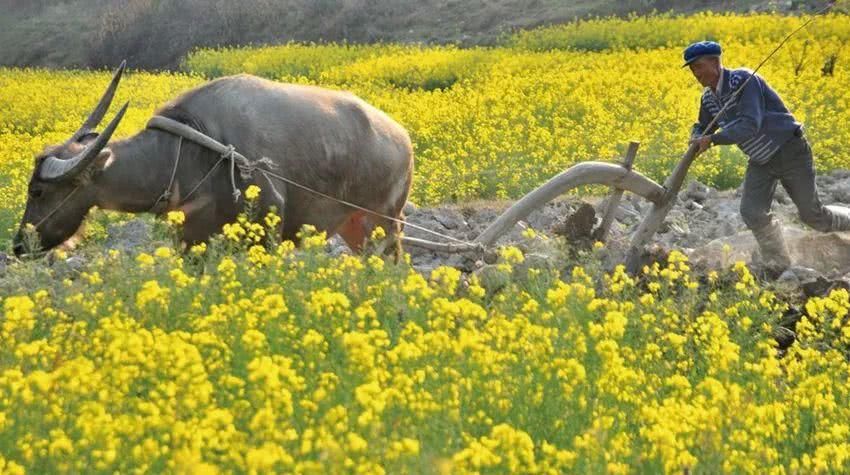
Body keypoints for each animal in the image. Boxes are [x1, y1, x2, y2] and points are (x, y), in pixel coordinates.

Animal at [12, 64, 410, 256]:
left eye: (37, 191)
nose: (18, 246)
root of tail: (400, 136)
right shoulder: (192, 240)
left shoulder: (267, 226)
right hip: (354, 225)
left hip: (384, 221)